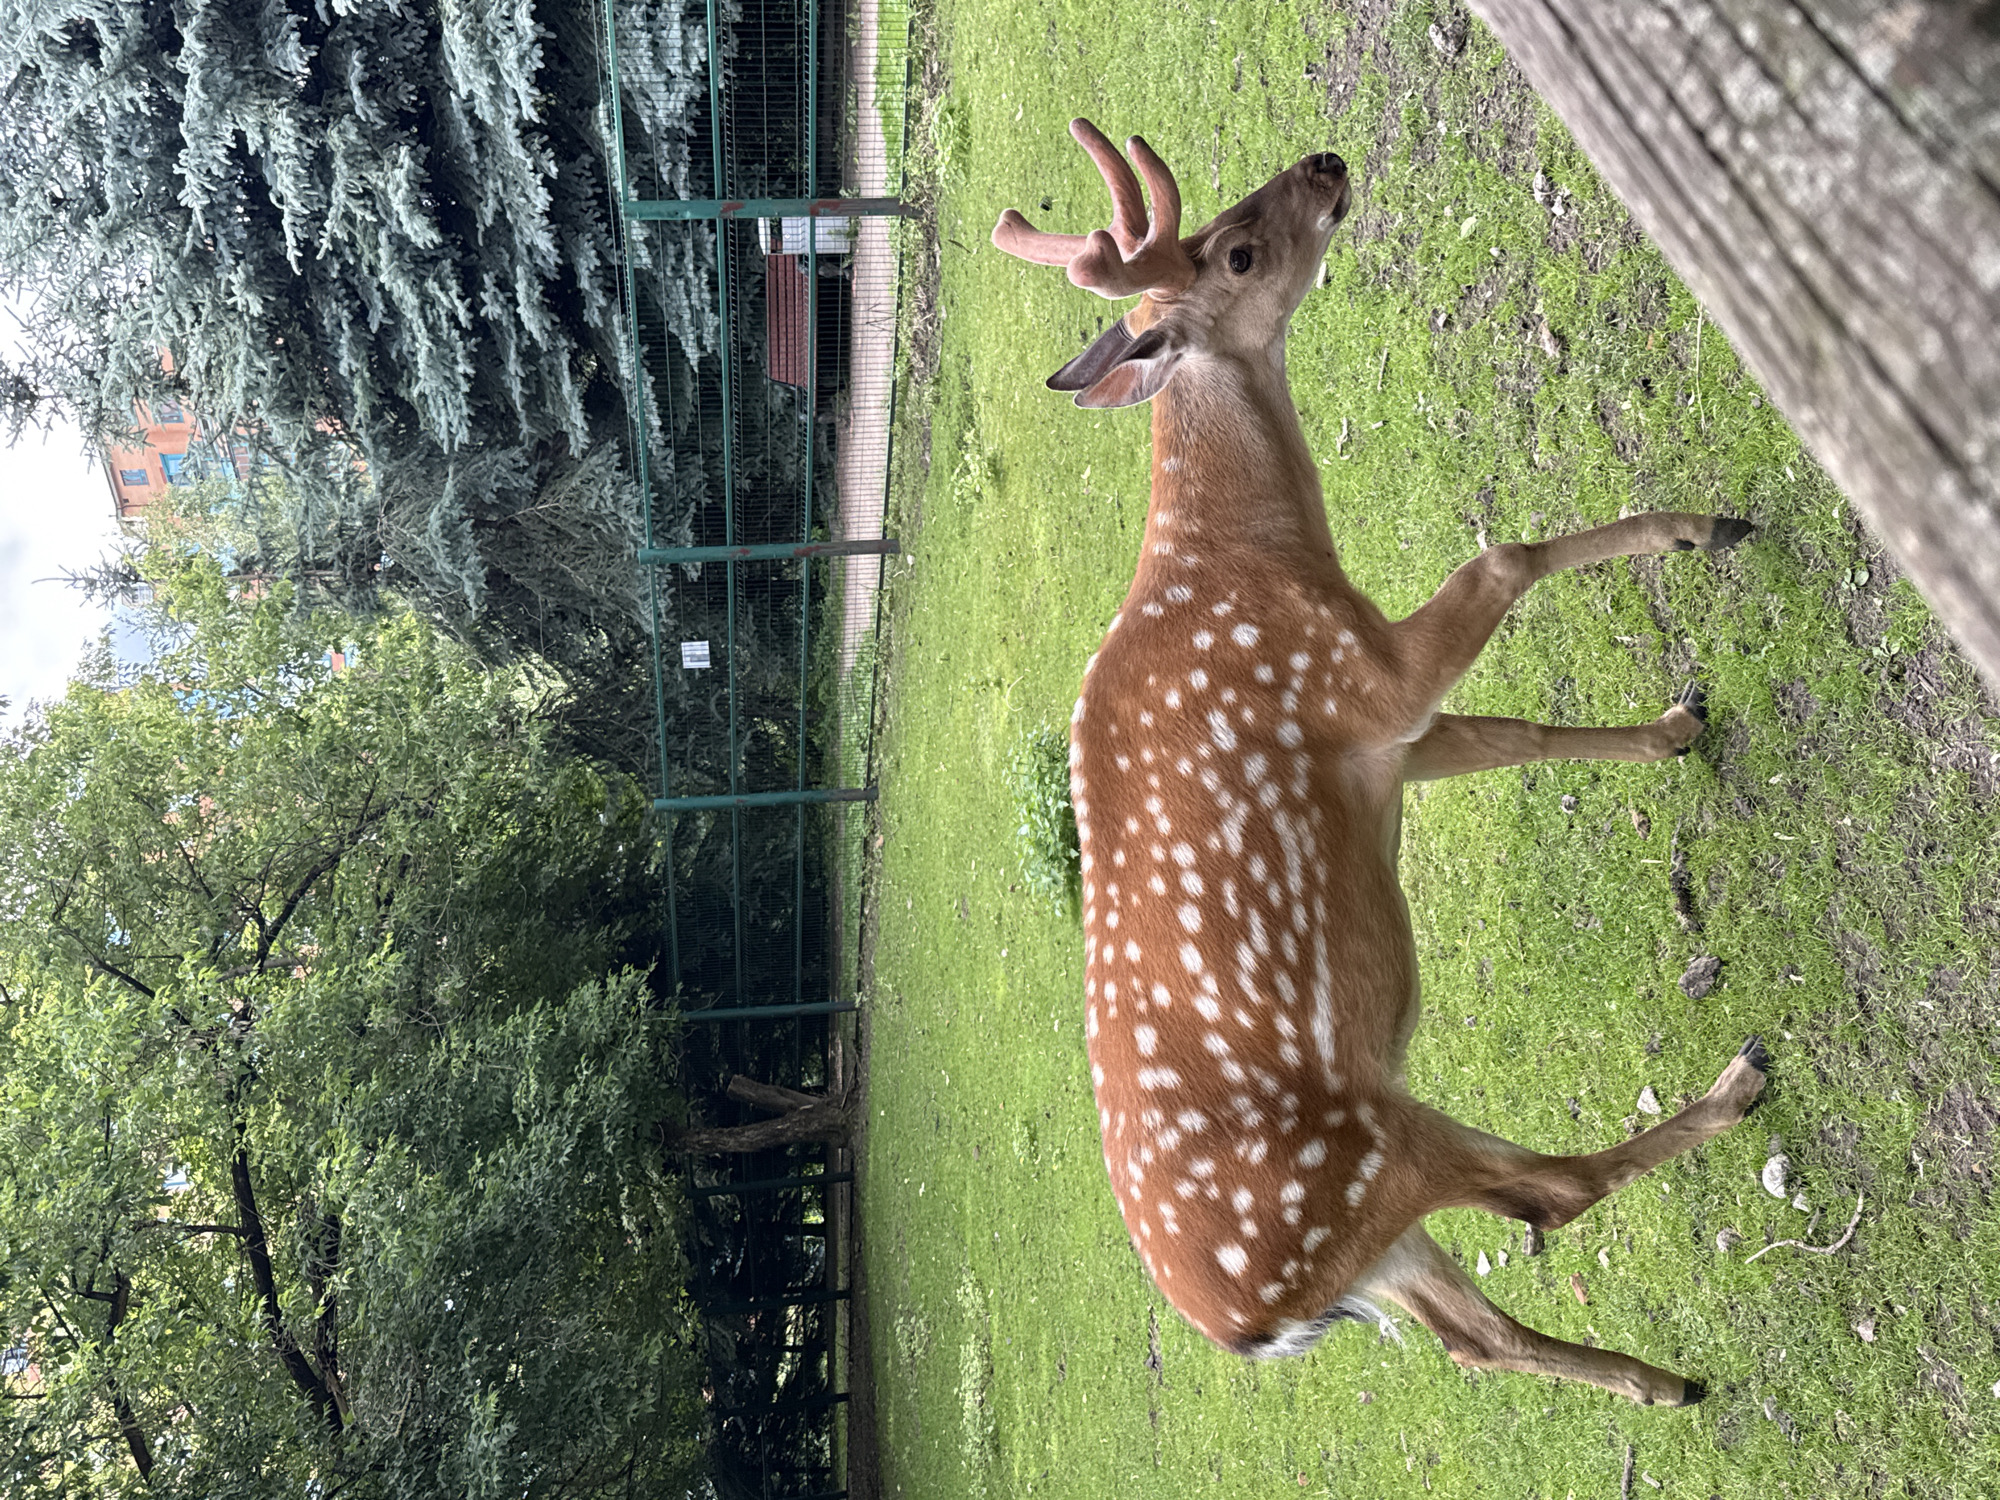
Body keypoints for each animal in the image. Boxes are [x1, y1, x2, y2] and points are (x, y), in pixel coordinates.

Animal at [992, 120, 1768, 1406]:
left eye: (1230, 218)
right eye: (1239, 252)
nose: (1321, 166)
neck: (1259, 556)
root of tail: (1249, 1328)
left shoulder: (1386, 745)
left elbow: (1518, 735)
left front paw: (1675, 724)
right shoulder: (1368, 685)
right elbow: (1502, 556)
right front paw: (1700, 529)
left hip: (1376, 1235)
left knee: (1477, 1334)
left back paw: (1668, 1385)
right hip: (1359, 1156)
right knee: (1548, 1196)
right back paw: (1737, 1085)